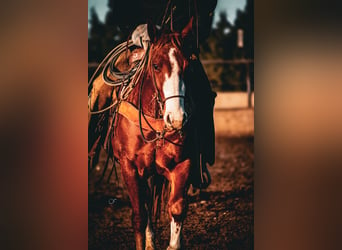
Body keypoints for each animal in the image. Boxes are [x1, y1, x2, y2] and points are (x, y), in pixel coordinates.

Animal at [89, 20, 198, 250]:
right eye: (156, 65)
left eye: (188, 66)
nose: (176, 118)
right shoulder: (129, 166)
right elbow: (139, 215)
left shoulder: (183, 164)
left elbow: (177, 210)